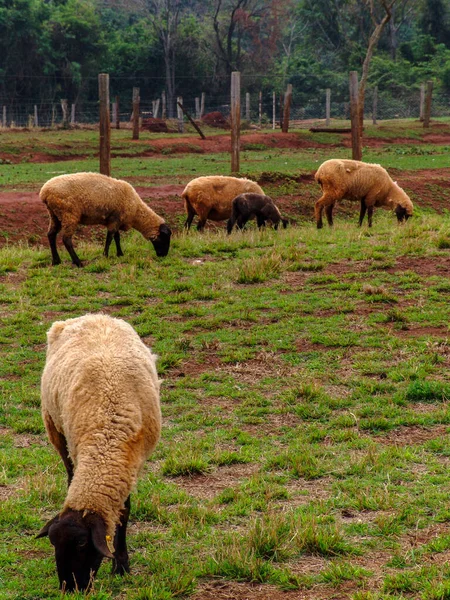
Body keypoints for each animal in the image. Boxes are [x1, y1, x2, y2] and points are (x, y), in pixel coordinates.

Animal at [37, 314, 162, 592]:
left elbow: (124, 512)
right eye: (53, 544)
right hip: (56, 429)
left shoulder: (130, 465)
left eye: (83, 544)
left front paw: (121, 565)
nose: (70, 589)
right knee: (70, 473)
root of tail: (94, 315)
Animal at [39, 173, 172, 268]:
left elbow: (116, 237)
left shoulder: (116, 220)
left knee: (51, 235)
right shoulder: (115, 219)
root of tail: (44, 192)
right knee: (66, 239)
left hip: (54, 215)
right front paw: (105, 255)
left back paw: (56, 261)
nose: (163, 255)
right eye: (165, 238)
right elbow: (109, 238)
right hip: (69, 215)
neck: (136, 211)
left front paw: (120, 254)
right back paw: (78, 263)